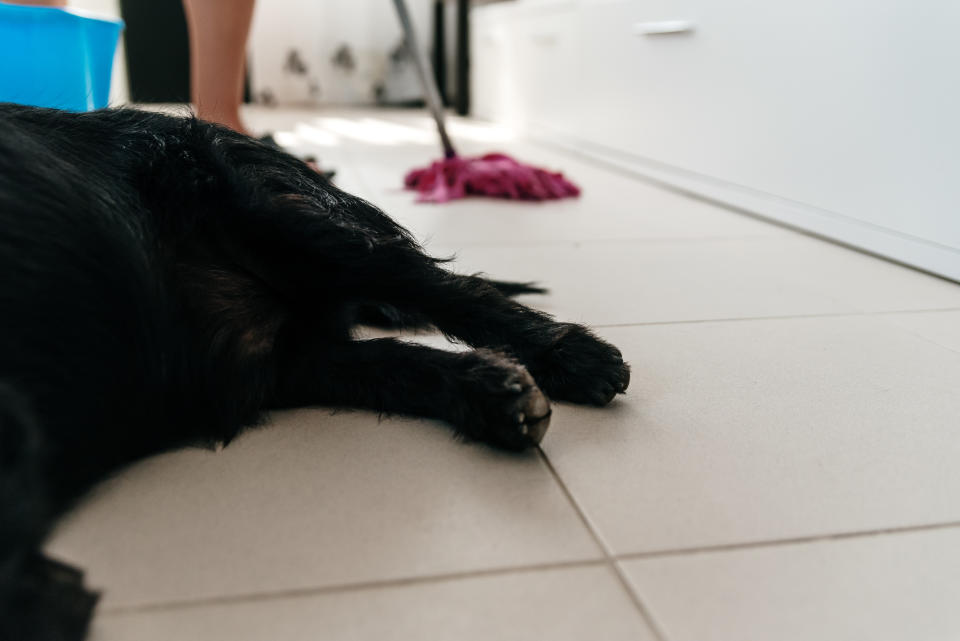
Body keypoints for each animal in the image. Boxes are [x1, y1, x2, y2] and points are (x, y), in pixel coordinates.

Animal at [0, 102, 632, 636]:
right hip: (299, 361)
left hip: (298, 226)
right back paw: (495, 398)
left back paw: (569, 355)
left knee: (460, 292)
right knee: (405, 363)